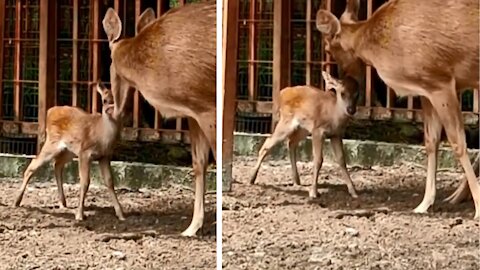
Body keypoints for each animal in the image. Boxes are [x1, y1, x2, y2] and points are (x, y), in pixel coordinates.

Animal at [102, 1, 216, 236]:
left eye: (109, 60)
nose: (112, 106)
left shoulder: (208, 105)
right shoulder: (194, 111)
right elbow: (199, 163)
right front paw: (192, 227)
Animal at [316, 0, 478, 219]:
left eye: (328, 47)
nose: (346, 79)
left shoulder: (440, 81)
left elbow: (458, 142)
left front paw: (478, 208)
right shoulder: (425, 91)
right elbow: (431, 141)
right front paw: (424, 204)